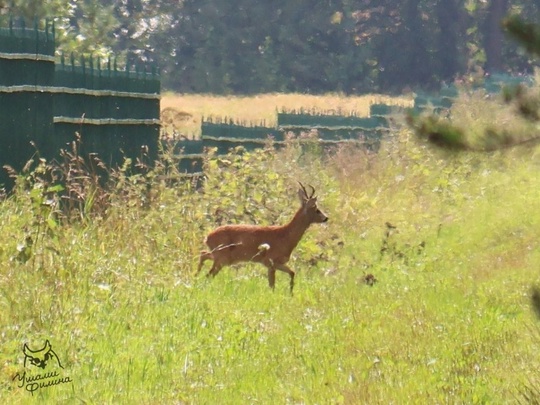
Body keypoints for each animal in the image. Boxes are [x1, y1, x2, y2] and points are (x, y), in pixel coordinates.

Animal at [196, 182, 326, 290]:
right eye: (317, 209)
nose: (326, 218)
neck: (286, 236)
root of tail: (207, 237)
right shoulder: (270, 261)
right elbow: (272, 285)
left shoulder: (275, 263)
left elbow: (292, 272)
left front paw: (291, 293)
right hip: (222, 257)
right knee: (208, 273)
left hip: (221, 256)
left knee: (203, 255)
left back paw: (195, 276)